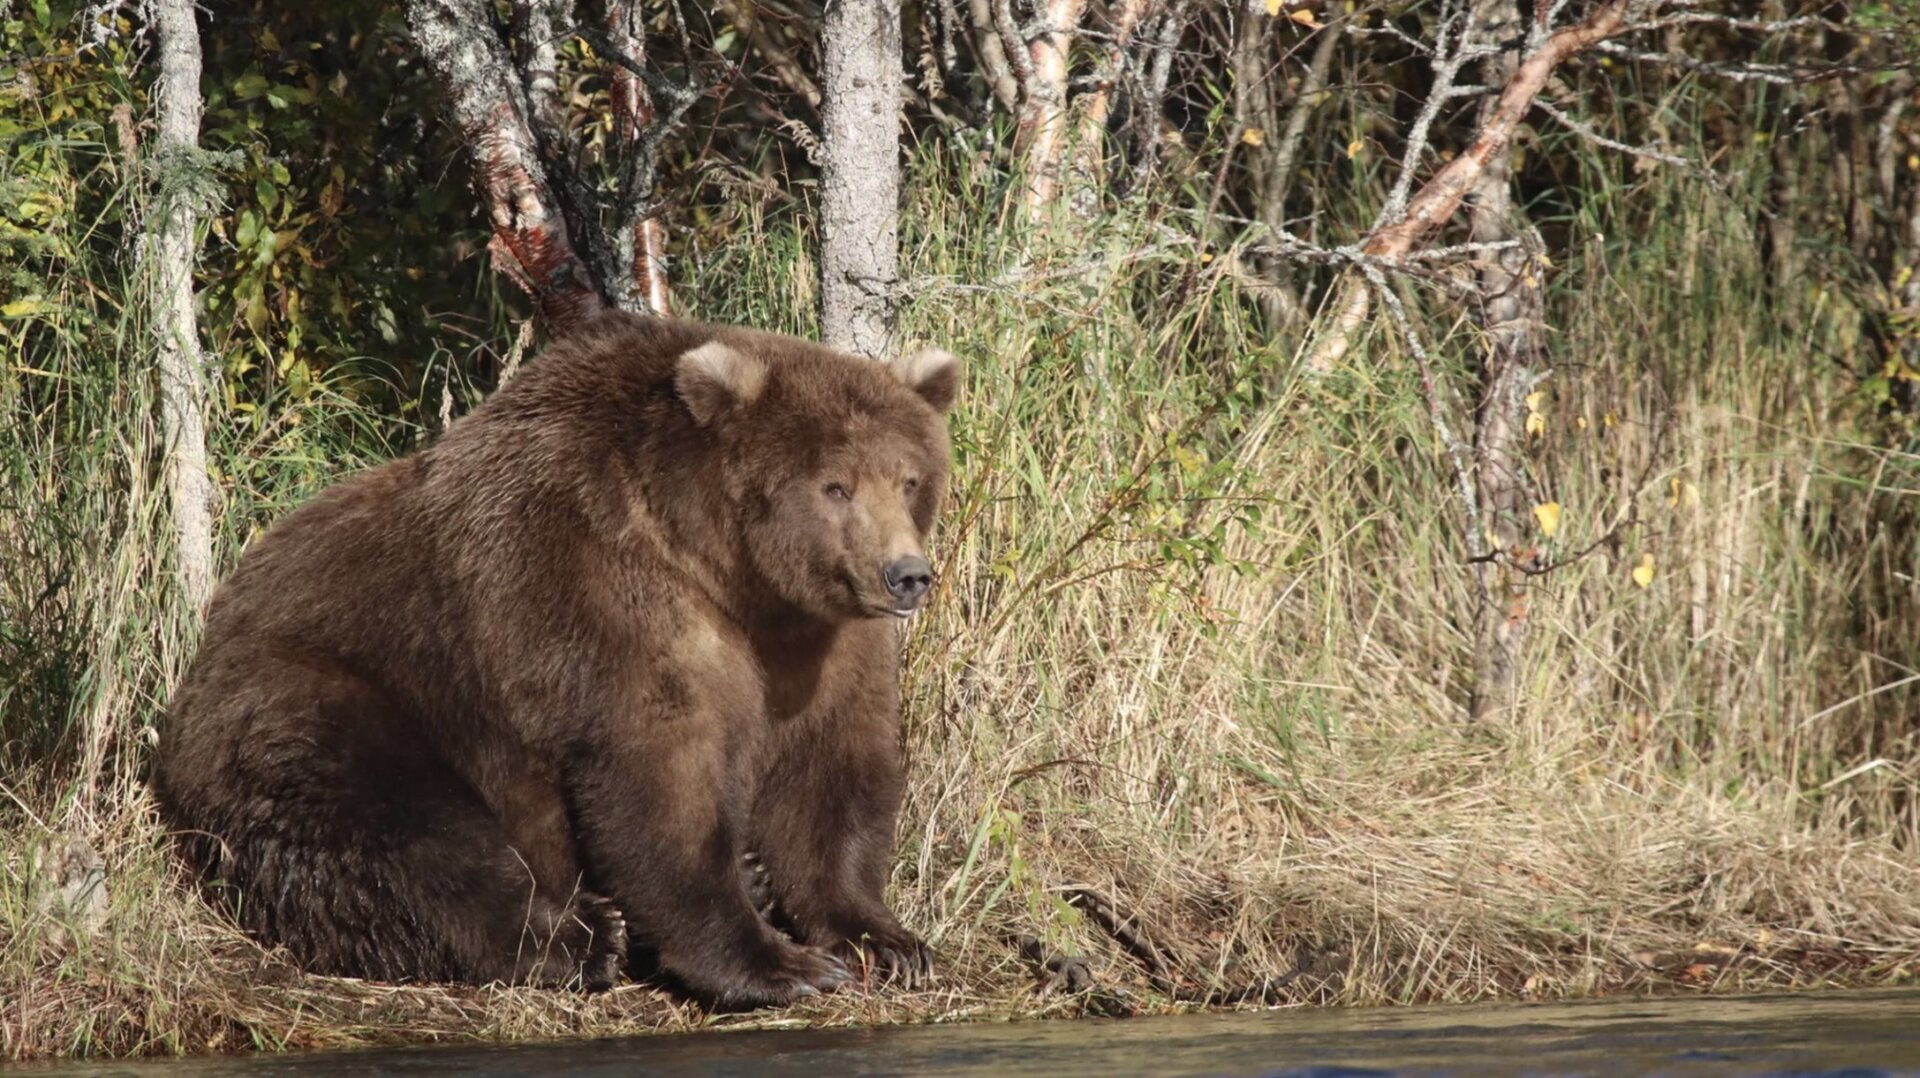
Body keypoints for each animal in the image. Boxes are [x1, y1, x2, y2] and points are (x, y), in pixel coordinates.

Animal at [151, 310, 959, 1009]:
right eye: (835, 485)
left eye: (909, 478)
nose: (906, 575)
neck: (729, 573)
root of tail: (200, 656)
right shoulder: (598, 591)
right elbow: (658, 778)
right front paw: (778, 963)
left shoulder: (821, 644)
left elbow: (832, 773)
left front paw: (886, 941)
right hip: (324, 700)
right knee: (404, 836)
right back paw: (583, 937)